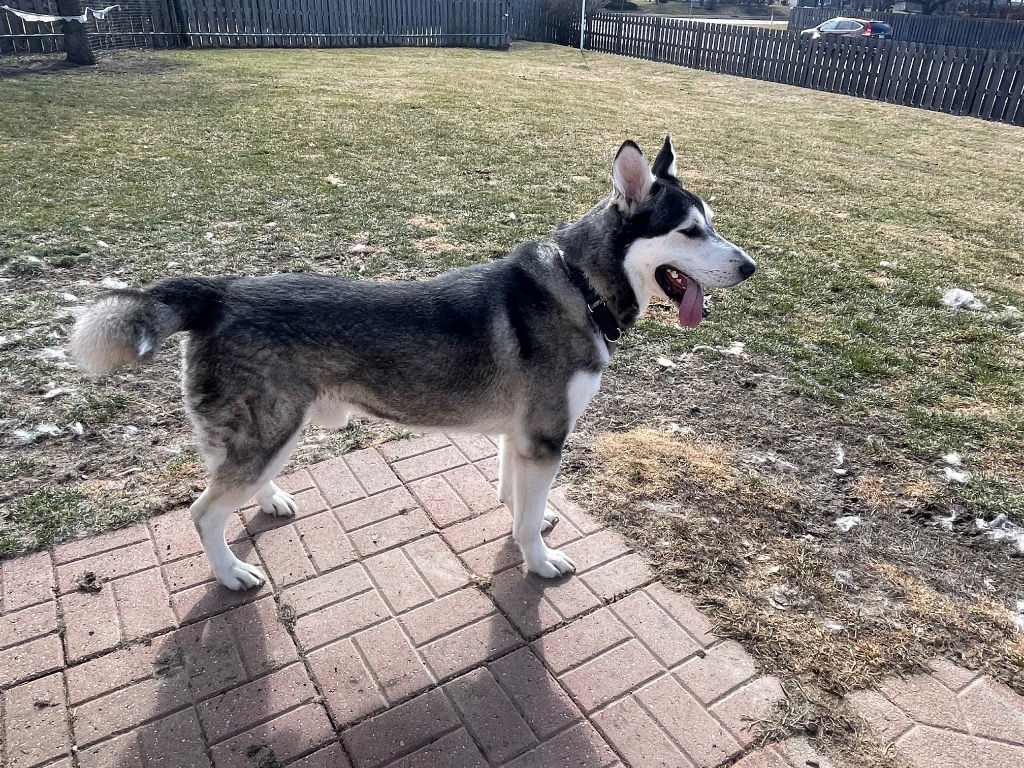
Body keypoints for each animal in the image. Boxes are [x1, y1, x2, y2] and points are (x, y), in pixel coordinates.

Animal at [72, 138, 757, 593]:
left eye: (712, 224)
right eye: (690, 232)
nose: (750, 267)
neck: (580, 285)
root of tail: (218, 292)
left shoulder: (519, 437)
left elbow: (514, 495)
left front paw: (527, 521)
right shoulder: (544, 436)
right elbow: (526, 521)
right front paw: (538, 561)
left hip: (274, 432)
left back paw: (270, 501)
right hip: (269, 430)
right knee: (204, 512)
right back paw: (231, 573)